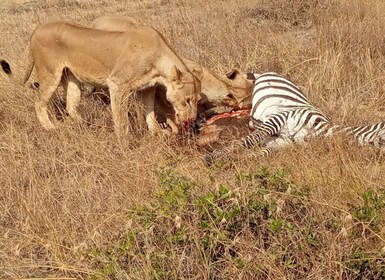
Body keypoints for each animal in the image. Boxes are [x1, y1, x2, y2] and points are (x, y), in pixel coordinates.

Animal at [202, 72, 382, 165]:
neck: (321, 132)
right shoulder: (280, 118)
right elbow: (247, 141)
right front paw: (214, 157)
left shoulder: (283, 143)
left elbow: (258, 154)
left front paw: (233, 160)